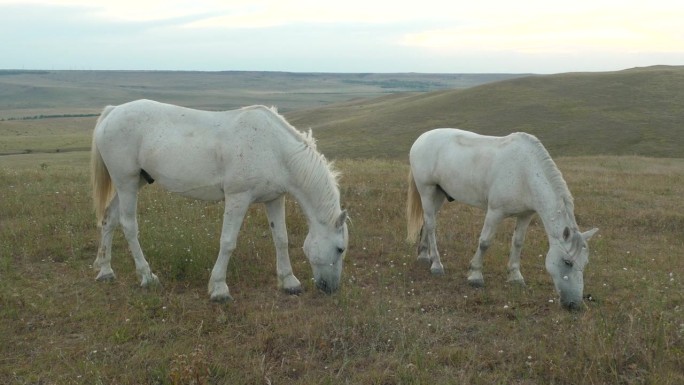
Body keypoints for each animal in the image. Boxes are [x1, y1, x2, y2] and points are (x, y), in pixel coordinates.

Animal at [91, 98, 348, 300]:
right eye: (340, 249)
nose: (331, 288)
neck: (275, 149)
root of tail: (112, 111)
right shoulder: (238, 198)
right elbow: (228, 242)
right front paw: (219, 289)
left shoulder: (274, 199)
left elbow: (281, 239)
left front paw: (289, 282)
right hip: (126, 183)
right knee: (128, 225)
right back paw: (147, 276)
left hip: (135, 182)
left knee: (109, 219)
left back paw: (105, 271)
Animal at [406, 128, 600, 308]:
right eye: (567, 262)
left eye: (585, 263)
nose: (574, 305)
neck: (525, 172)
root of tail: (422, 138)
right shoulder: (495, 212)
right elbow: (485, 242)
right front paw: (475, 275)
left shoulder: (525, 215)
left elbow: (518, 243)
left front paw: (515, 276)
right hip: (427, 190)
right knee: (431, 225)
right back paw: (437, 265)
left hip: (438, 194)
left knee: (427, 221)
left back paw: (424, 255)